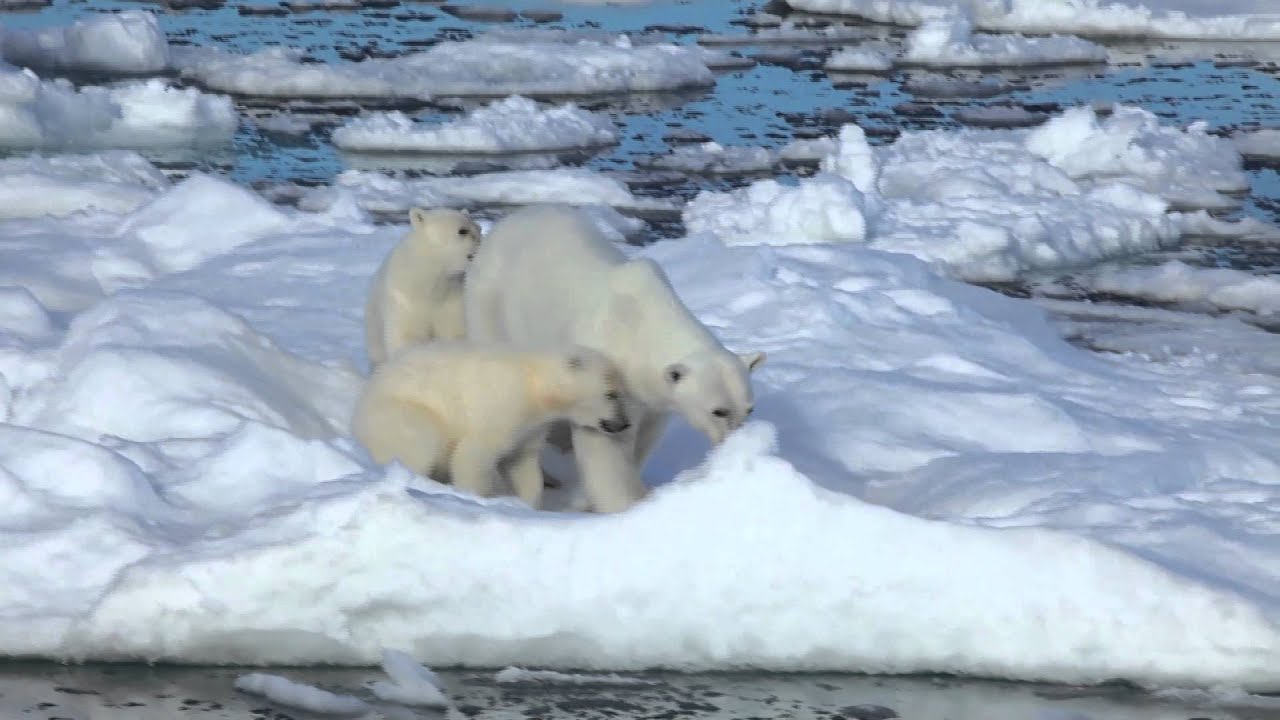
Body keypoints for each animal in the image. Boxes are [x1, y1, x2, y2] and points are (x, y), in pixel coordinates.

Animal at [351, 341, 632, 511]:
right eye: (611, 394)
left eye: (621, 392)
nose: (623, 424)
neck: (534, 383)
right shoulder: (502, 408)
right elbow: (472, 456)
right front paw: (479, 497)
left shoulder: (530, 427)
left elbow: (523, 464)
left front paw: (528, 503)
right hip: (401, 412)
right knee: (421, 440)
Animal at [363, 207, 482, 368]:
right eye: (462, 230)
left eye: (479, 228)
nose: (484, 239)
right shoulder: (405, 300)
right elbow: (408, 336)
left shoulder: (453, 297)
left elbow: (454, 332)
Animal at [464, 204, 765, 514]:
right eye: (718, 411)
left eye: (749, 409)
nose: (736, 441)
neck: (644, 325)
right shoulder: (609, 372)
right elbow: (608, 443)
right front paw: (626, 504)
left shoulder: (653, 399)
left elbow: (646, 434)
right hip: (492, 306)